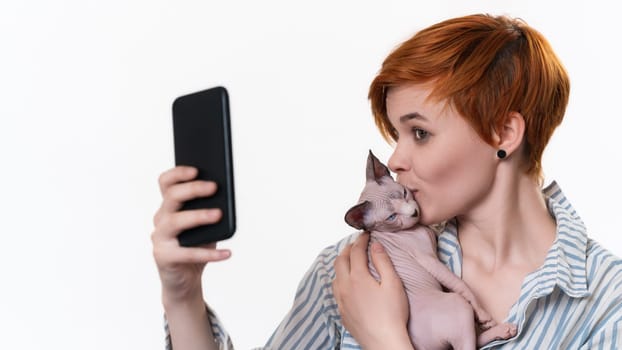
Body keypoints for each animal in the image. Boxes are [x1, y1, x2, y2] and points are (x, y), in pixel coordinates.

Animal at [346, 152, 516, 350]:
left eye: (404, 193)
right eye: (391, 217)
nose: (414, 213)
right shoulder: (428, 259)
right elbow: (460, 285)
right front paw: (483, 315)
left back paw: (503, 331)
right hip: (456, 304)